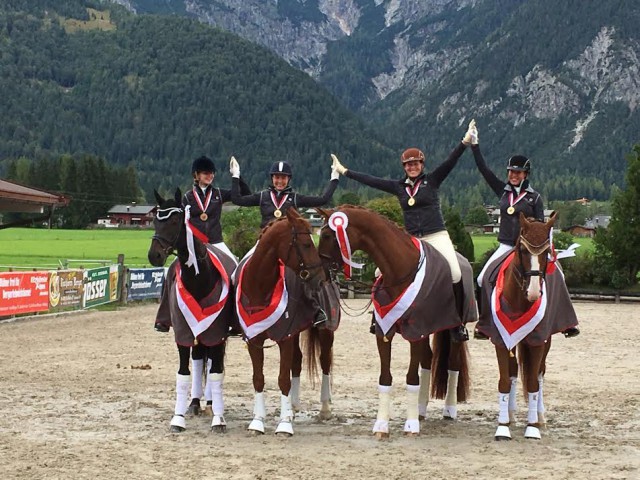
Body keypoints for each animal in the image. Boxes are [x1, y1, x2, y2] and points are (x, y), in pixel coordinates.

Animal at [149, 188, 236, 436]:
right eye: (155, 220)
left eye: (175, 221)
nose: (154, 256)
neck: (199, 280)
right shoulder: (183, 333)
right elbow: (184, 374)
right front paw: (178, 418)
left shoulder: (216, 333)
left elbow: (215, 373)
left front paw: (218, 419)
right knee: (198, 361)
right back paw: (196, 402)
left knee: (212, 364)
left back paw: (210, 403)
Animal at [234, 208, 328, 434]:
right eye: (306, 244)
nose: (320, 279)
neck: (261, 289)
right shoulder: (254, 340)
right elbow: (258, 379)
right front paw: (258, 421)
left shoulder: (285, 338)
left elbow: (283, 379)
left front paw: (284, 425)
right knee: (297, 361)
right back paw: (292, 409)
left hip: (324, 332)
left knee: (325, 362)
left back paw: (324, 409)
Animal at [318, 206, 472, 438]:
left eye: (327, 235)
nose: (319, 271)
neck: (400, 271)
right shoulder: (384, 332)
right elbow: (385, 378)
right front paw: (381, 425)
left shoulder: (416, 332)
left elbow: (411, 378)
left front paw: (411, 426)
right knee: (428, 361)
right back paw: (421, 409)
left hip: (452, 329)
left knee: (452, 363)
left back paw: (449, 409)